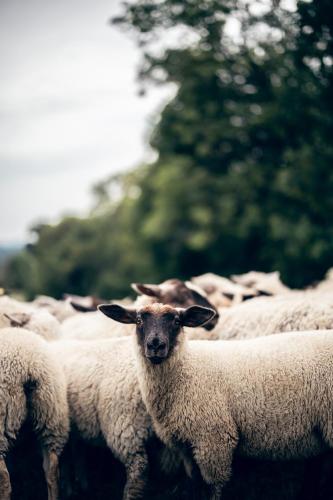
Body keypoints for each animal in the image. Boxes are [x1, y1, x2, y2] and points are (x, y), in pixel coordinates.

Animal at [98, 300, 333, 500]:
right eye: (139, 321)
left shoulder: (214, 439)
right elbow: (197, 484)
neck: (186, 372)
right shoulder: (187, 446)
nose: (156, 345)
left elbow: (214, 487)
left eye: (176, 322)